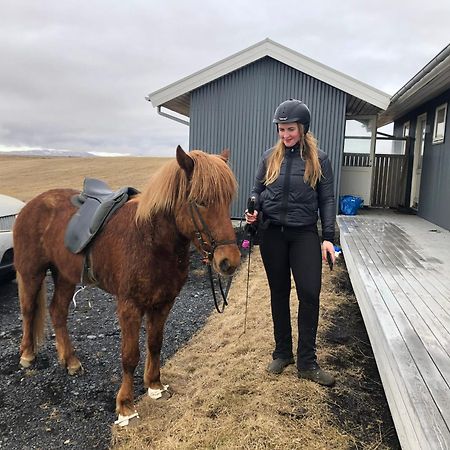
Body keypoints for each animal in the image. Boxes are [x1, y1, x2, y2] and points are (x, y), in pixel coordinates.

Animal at [12, 147, 241, 426]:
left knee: (57, 312)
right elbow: (130, 356)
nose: (229, 261)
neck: (151, 241)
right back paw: (27, 355)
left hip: (65, 275)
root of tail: (31, 205)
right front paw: (125, 406)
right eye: (200, 201)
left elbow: (155, 343)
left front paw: (155, 385)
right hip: (31, 273)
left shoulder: (163, 303)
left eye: (228, 200)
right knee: (28, 310)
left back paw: (71, 361)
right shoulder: (129, 306)